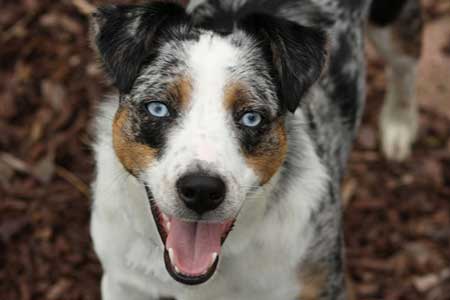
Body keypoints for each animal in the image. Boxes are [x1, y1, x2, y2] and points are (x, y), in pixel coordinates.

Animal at [90, 1, 422, 298]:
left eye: (252, 117)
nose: (201, 189)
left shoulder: (322, 284)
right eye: (158, 108)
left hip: (391, 17)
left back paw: (399, 124)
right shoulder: (124, 283)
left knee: (406, 63)